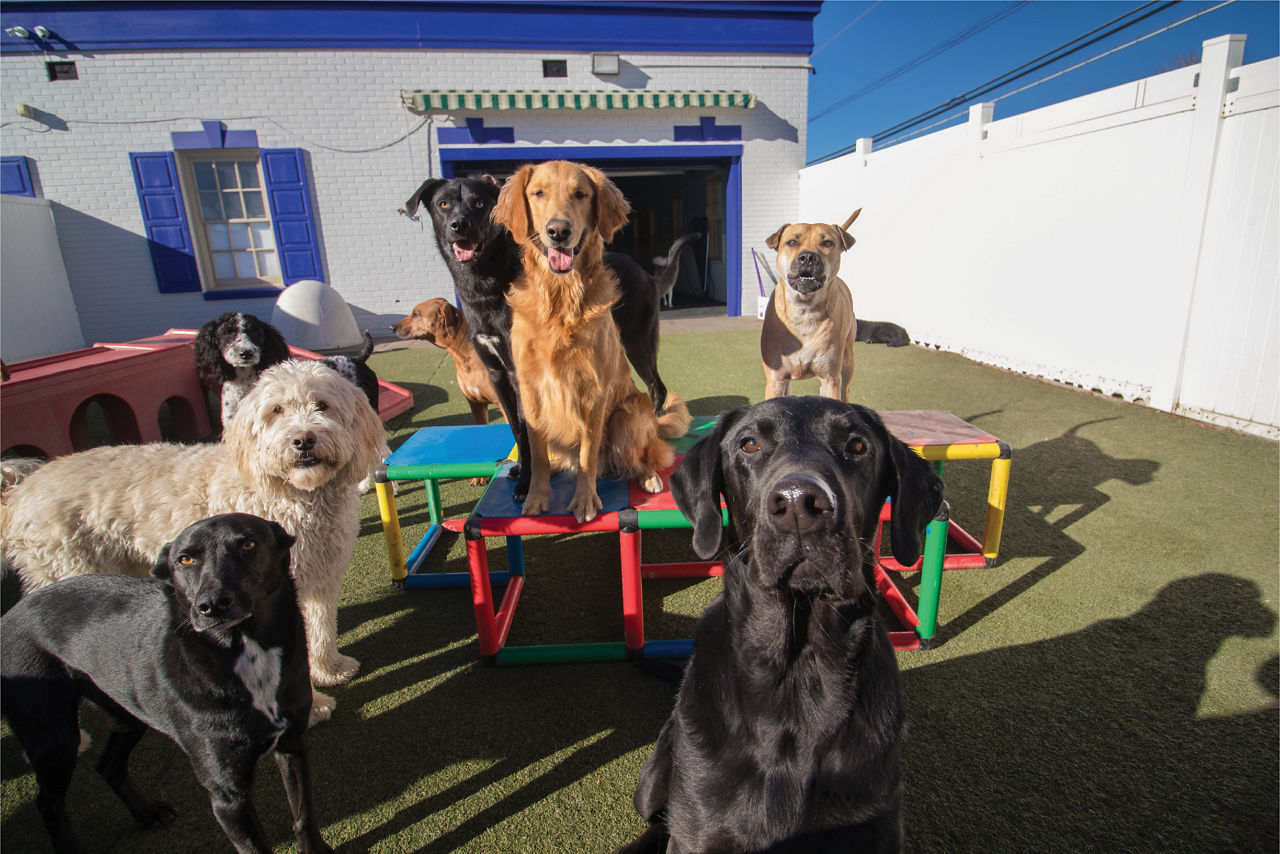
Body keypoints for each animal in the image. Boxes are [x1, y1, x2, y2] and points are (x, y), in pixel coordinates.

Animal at [1, 514, 330, 854]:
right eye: (184, 559)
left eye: (248, 544)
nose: (211, 604)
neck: (248, 651)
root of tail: (10, 614)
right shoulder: (227, 796)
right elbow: (255, 847)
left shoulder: (293, 743)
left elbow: (304, 816)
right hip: (54, 739)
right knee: (47, 803)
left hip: (125, 715)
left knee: (108, 766)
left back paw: (147, 813)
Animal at [2, 358, 386, 727]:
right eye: (276, 410)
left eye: (322, 405)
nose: (303, 439)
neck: (293, 495)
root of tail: (19, 493)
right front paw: (312, 707)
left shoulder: (322, 577)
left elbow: (320, 628)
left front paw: (329, 669)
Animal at [491, 159, 691, 522]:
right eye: (538, 193)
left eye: (580, 194)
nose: (558, 230)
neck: (560, 300)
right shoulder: (529, 389)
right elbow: (537, 452)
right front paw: (536, 495)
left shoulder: (592, 391)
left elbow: (587, 453)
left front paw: (584, 501)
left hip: (629, 415)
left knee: (645, 455)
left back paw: (649, 476)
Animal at [757, 209, 860, 404]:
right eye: (792, 242)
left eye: (827, 243)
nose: (808, 257)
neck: (804, 311)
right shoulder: (776, 378)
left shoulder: (830, 378)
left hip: (848, 358)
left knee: (846, 388)